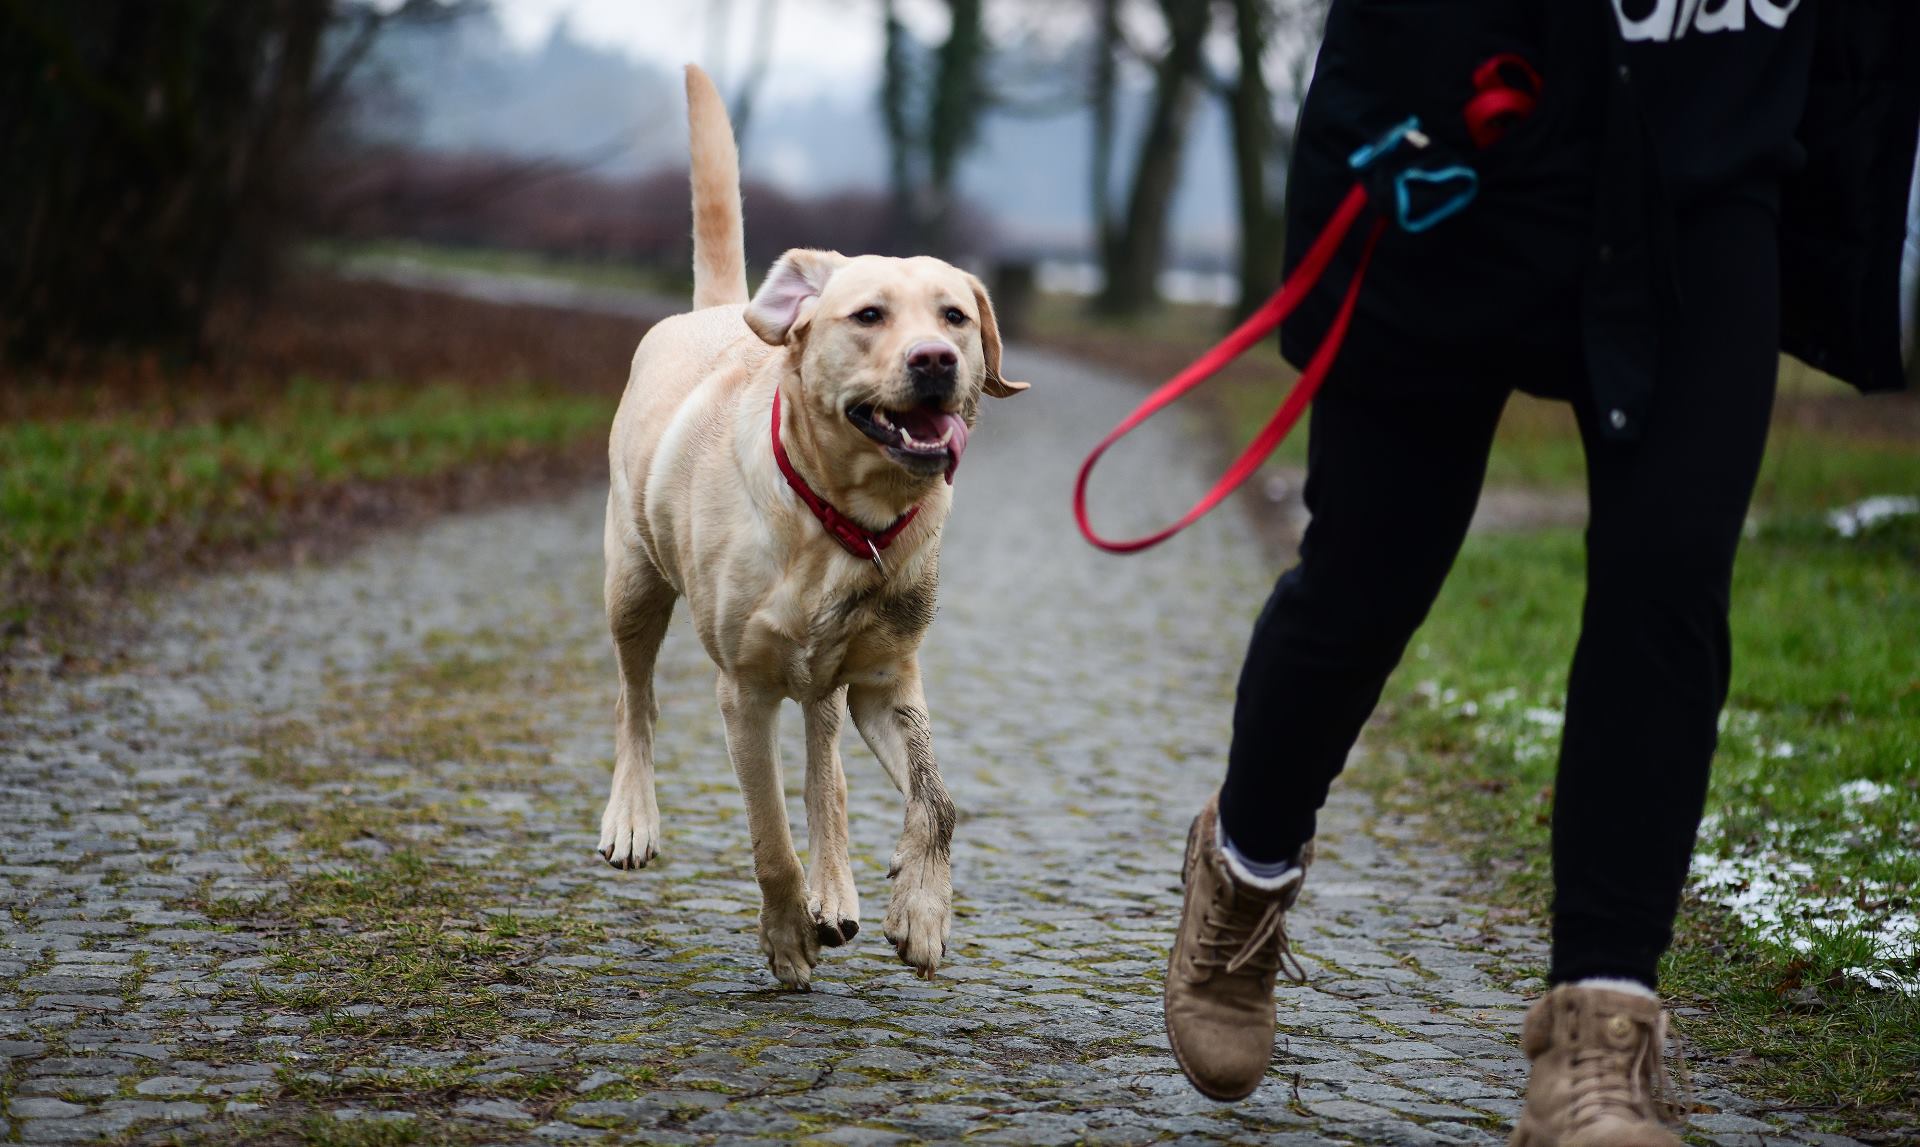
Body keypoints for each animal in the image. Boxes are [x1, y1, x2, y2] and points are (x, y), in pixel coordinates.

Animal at [599, 67, 1029, 991]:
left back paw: (839, 885)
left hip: (829, 676)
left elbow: (935, 799)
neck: (845, 519)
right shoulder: (745, 690)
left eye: (955, 316)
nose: (935, 359)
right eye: (868, 316)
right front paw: (787, 933)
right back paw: (634, 816)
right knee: (635, 698)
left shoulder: (886, 678)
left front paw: (921, 910)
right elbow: (768, 837)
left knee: (825, 766)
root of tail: (723, 307)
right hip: (632, 581)